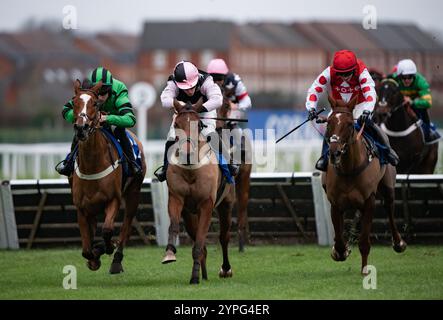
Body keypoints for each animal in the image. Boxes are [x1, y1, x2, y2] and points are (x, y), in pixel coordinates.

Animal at [69, 79, 146, 274]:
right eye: (74, 102)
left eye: (95, 104)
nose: (81, 128)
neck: (92, 165)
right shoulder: (81, 207)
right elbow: (86, 249)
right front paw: (93, 258)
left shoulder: (113, 199)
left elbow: (107, 230)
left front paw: (105, 248)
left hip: (134, 192)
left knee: (126, 226)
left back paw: (116, 260)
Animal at [160, 101, 236, 284]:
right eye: (176, 124)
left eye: (199, 125)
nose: (187, 153)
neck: (191, 170)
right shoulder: (177, 199)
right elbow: (174, 226)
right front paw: (169, 253)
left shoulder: (206, 205)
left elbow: (201, 240)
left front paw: (194, 278)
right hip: (190, 215)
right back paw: (205, 274)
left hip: (226, 204)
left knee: (224, 237)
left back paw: (225, 269)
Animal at [320, 95, 408, 276]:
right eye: (329, 122)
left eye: (349, 124)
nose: (334, 153)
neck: (349, 169)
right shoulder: (335, 203)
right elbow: (339, 237)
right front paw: (340, 251)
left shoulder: (369, 201)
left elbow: (364, 240)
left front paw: (365, 269)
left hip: (387, 187)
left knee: (389, 208)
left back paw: (398, 243)